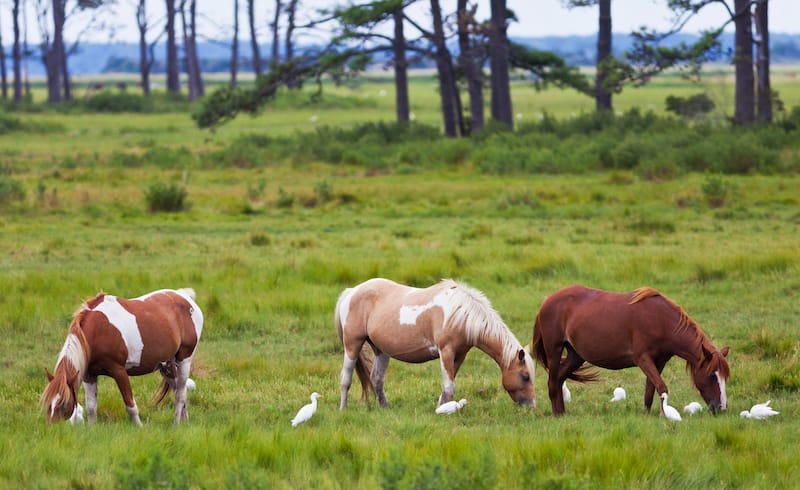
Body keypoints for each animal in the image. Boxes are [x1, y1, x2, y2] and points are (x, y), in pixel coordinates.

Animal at [41, 288, 205, 424]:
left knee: (180, 395)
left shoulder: (119, 372)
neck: (98, 331)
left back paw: (176, 424)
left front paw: (139, 428)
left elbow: (130, 406)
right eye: (49, 404)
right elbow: (91, 408)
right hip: (166, 367)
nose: (52, 428)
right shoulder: (89, 375)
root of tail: (186, 297)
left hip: (184, 360)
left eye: (64, 404)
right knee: (179, 390)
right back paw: (185, 421)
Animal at [334, 280, 536, 410]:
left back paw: (385, 408)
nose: (532, 406)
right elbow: (449, 386)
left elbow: (448, 384)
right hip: (352, 345)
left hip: (381, 351)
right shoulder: (445, 351)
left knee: (376, 379)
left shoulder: (459, 355)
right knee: (346, 378)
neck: (460, 313)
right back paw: (343, 409)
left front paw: (442, 408)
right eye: (525, 376)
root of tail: (351, 291)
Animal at [532, 288, 732, 418]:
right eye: (712, 376)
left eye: (724, 377)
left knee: (559, 379)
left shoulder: (659, 362)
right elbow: (661, 387)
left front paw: (647, 415)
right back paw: (556, 415)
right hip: (554, 350)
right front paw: (664, 414)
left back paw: (562, 413)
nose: (722, 408)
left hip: (576, 356)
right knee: (552, 381)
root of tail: (546, 301)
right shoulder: (643, 359)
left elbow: (650, 390)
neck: (660, 320)